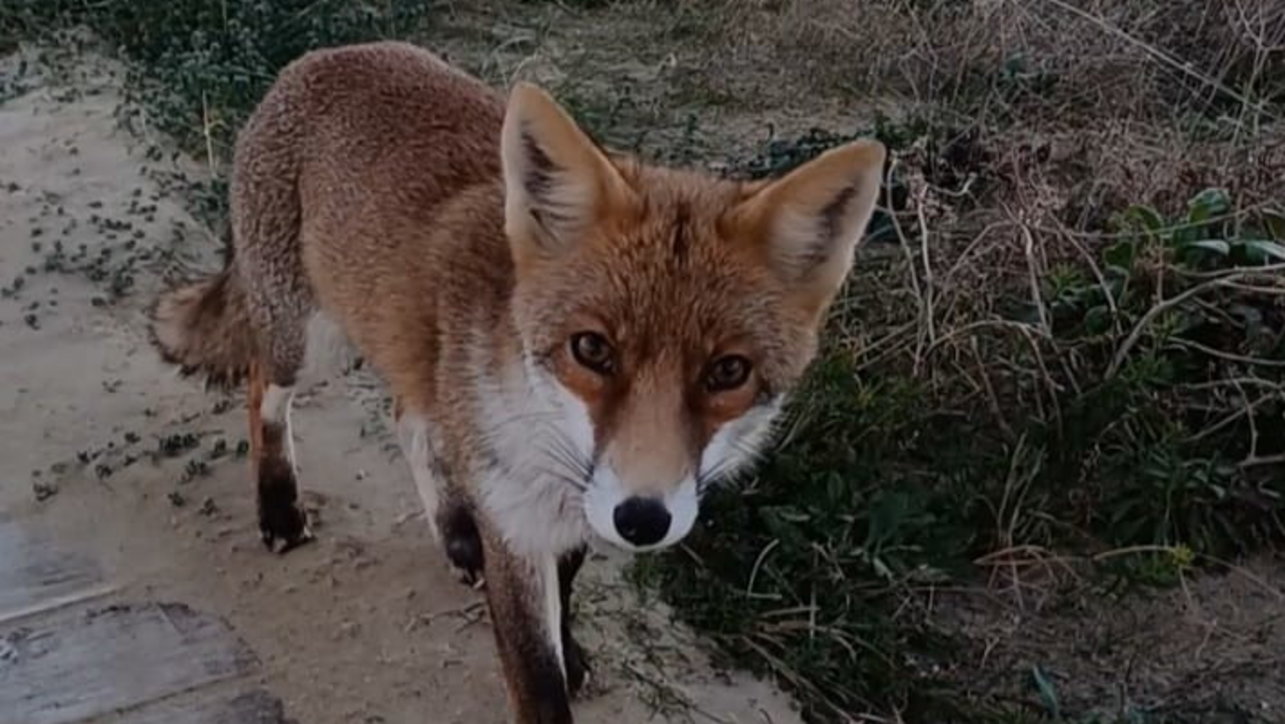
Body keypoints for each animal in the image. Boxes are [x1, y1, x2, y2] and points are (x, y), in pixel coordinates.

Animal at [147, 41, 884, 724]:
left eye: (728, 371)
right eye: (591, 349)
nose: (642, 520)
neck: (534, 422)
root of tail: (325, 55)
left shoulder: (571, 505)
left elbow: (566, 586)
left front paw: (572, 645)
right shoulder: (519, 519)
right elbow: (537, 680)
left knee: (406, 417)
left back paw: (455, 533)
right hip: (308, 337)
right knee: (262, 390)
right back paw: (279, 507)